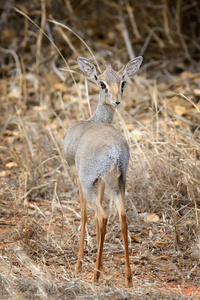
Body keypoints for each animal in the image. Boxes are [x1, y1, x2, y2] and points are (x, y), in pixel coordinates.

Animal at [63, 55, 143, 286]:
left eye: (122, 82)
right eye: (102, 83)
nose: (116, 100)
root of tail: (115, 148)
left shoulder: (80, 177)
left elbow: (83, 214)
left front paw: (79, 264)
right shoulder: (101, 181)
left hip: (90, 183)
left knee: (102, 215)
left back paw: (95, 275)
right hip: (118, 182)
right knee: (122, 216)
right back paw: (127, 278)